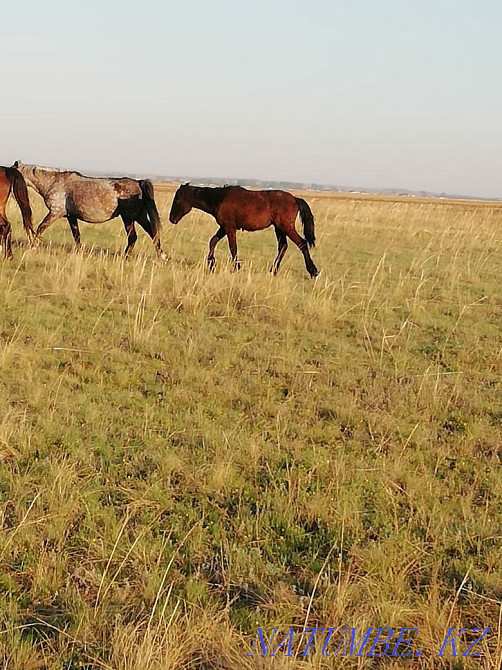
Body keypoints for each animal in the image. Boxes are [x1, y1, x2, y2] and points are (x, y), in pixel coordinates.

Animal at [13, 162, 167, 260]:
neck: (54, 182)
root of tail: (139, 182)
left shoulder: (55, 213)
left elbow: (40, 228)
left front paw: (32, 247)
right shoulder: (71, 216)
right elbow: (76, 235)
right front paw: (79, 252)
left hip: (128, 217)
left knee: (134, 237)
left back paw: (126, 257)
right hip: (139, 217)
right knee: (152, 233)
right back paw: (162, 256)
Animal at [169, 184, 319, 277]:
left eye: (177, 200)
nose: (171, 219)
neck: (219, 198)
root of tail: (295, 199)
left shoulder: (229, 228)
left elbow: (232, 247)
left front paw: (236, 267)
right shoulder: (223, 227)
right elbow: (212, 241)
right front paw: (211, 263)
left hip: (286, 227)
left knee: (301, 243)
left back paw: (313, 271)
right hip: (279, 229)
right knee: (283, 246)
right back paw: (273, 271)